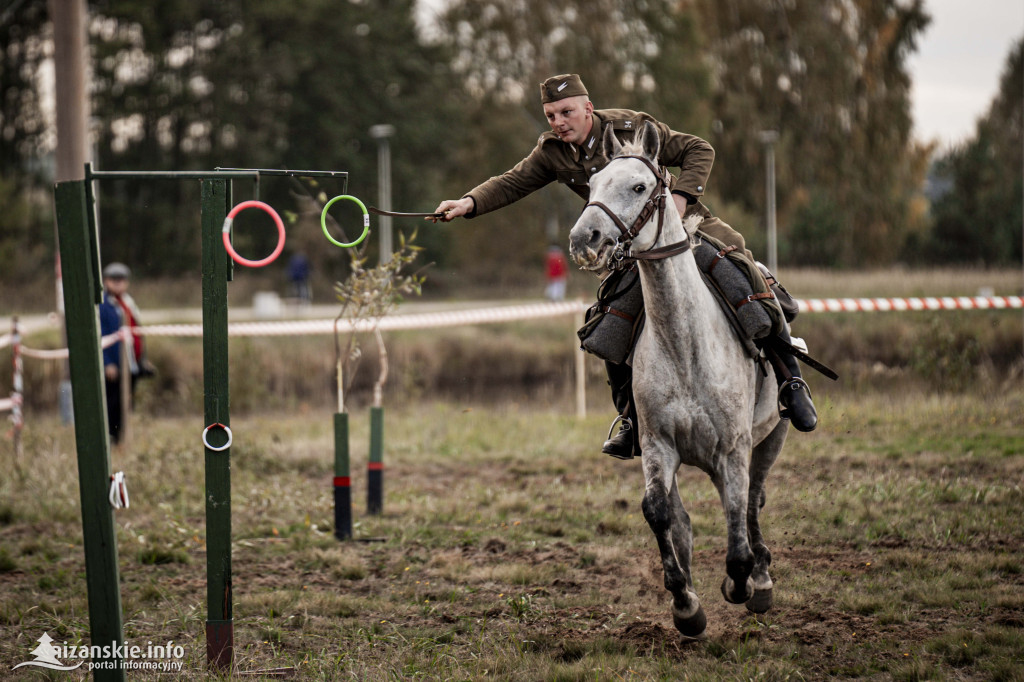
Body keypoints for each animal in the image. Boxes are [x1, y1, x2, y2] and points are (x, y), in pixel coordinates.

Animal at [565, 122, 786, 638]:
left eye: (639, 187)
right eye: (592, 184)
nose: (585, 238)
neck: (687, 345)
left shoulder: (734, 449)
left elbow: (738, 517)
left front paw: (742, 583)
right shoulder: (658, 445)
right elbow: (659, 513)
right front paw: (685, 603)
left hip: (773, 436)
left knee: (753, 499)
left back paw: (761, 579)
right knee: (683, 518)